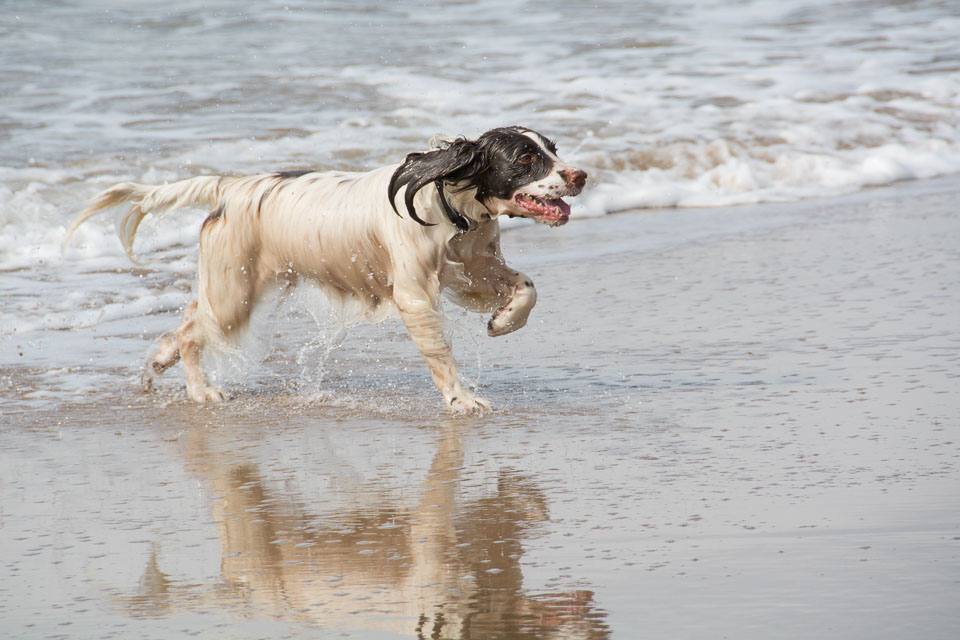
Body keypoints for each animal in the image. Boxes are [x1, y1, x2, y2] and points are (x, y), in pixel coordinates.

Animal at [65, 127, 584, 412]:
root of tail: (230, 188)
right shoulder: (416, 294)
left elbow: (527, 288)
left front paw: (503, 321)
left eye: (553, 149)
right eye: (526, 158)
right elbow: (441, 354)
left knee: (191, 316)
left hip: (230, 285)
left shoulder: (475, 267)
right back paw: (201, 391)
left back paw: (161, 358)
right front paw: (463, 400)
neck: (451, 206)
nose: (580, 175)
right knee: (195, 331)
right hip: (236, 291)